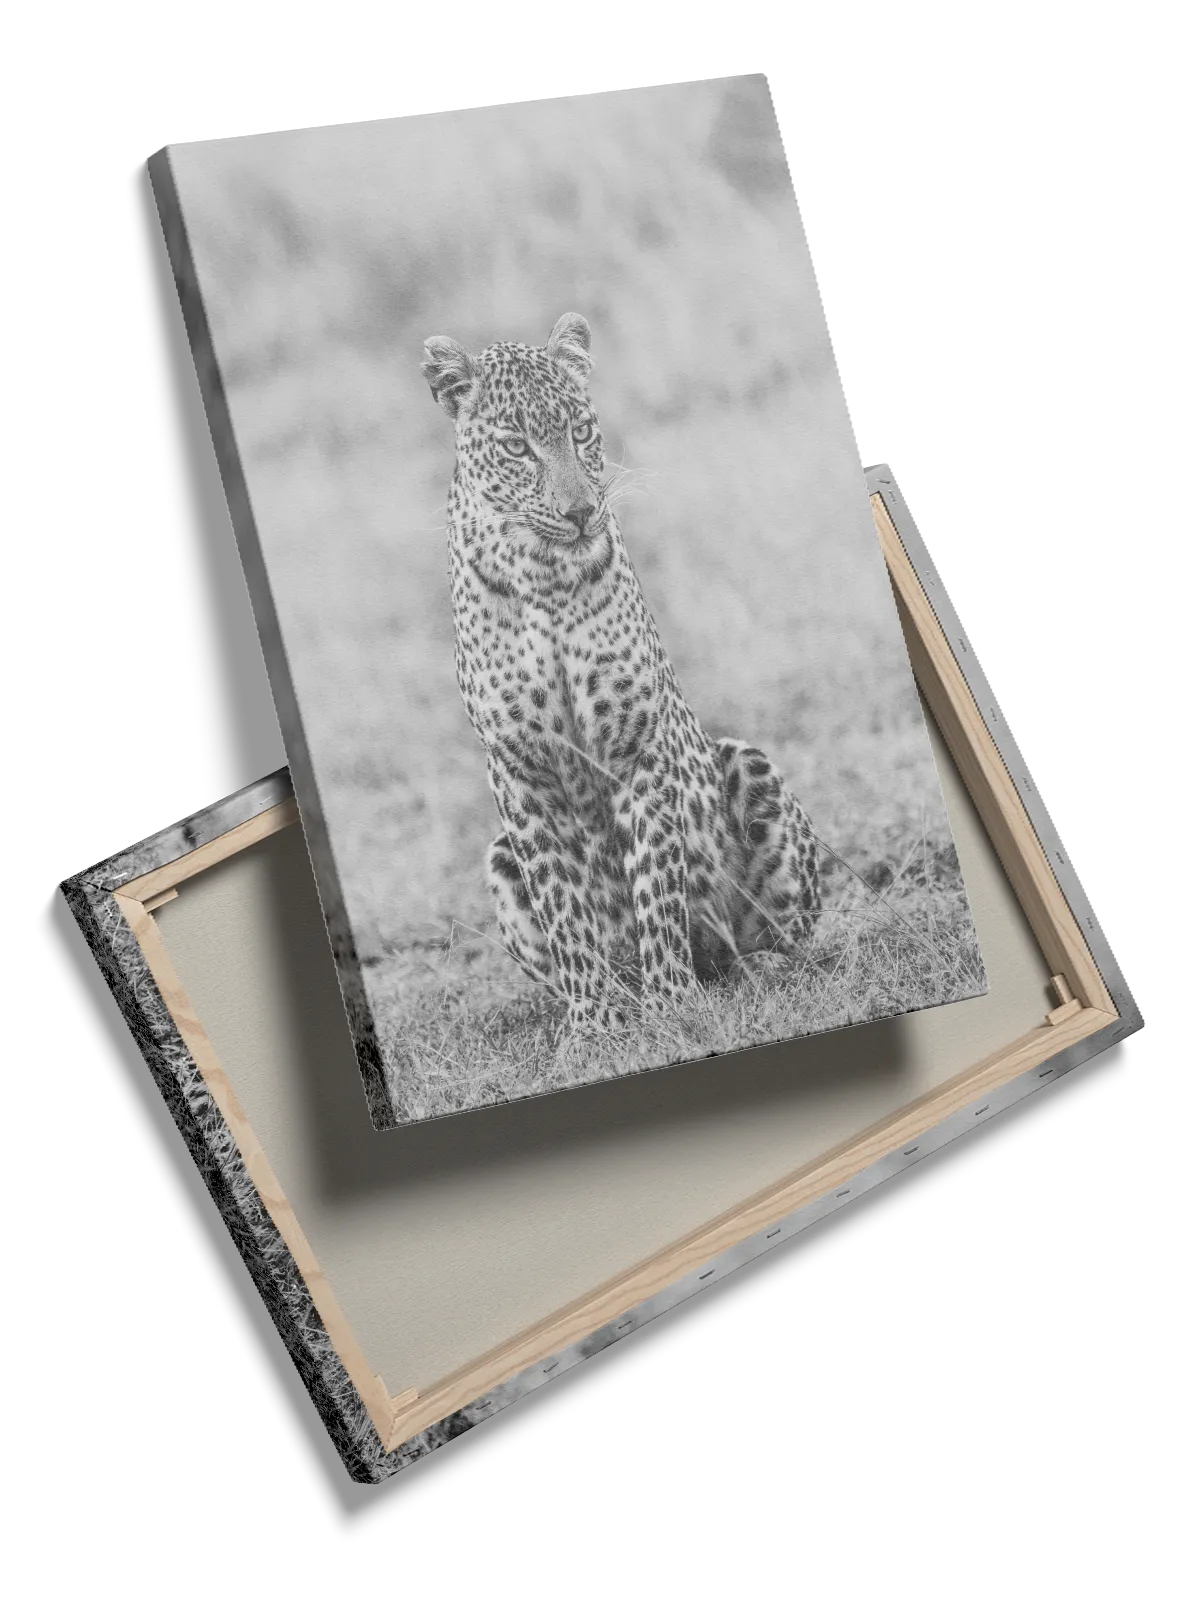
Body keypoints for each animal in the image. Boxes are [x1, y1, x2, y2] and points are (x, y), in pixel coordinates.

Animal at [421, 312, 821, 1027]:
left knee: (777, 936)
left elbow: (656, 882)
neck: (544, 577)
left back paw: (756, 971)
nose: (581, 511)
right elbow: (561, 901)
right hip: (498, 855)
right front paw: (592, 1021)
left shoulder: (638, 746)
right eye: (517, 447)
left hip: (747, 765)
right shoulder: (518, 768)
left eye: (581, 431)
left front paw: (671, 1002)